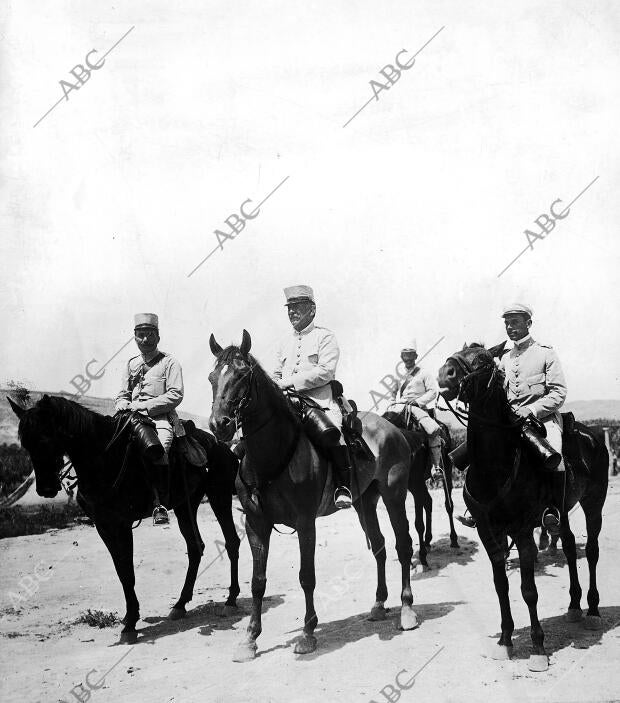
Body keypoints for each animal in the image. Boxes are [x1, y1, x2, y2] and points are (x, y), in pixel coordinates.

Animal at [10, 396, 242, 644]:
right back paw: (180, 605)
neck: (104, 458)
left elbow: (128, 573)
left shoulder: (122, 525)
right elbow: (122, 572)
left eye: (45, 439)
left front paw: (130, 624)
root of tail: (222, 447)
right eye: (26, 444)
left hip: (219, 497)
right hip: (184, 507)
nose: (45, 489)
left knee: (232, 542)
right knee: (195, 547)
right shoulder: (104, 526)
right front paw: (130, 617)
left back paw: (230, 600)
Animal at [208, 332, 422, 664]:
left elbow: (306, 576)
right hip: (365, 503)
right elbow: (257, 582)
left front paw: (308, 634)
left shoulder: (306, 523)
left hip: (394, 496)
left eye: (242, 375)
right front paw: (250, 639)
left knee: (403, 544)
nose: (220, 424)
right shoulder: (256, 524)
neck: (272, 455)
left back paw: (407, 610)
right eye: (212, 377)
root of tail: (393, 428)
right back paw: (378, 605)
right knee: (380, 547)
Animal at [438, 344, 608, 672]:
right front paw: (505, 641)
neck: (495, 466)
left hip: (594, 504)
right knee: (569, 547)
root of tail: (593, 435)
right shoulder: (490, 533)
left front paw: (538, 648)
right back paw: (574, 606)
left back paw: (592, 610)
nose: (444, 374)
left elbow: (528, 590)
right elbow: (501, 585)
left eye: (483, 360)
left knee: (591, 551)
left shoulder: (523, 530)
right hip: (561, 514)